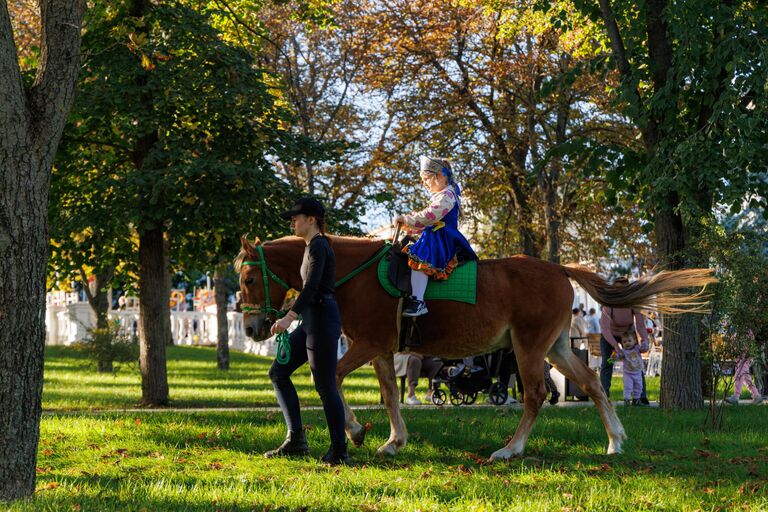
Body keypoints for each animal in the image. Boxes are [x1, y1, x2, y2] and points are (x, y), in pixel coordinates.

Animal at [237, 236, 716, 460]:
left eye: (247, 277)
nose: (254, 326)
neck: (353, 272)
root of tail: (558, 268)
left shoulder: (368, 344)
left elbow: (332, 377)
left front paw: (355, 430)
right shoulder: (380, 350)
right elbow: (389, 395)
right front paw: (393, 440)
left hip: (528, 349)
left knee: (536, 395)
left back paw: (510, 449)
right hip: (557, 348)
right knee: (594, 386)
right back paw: (615, 441)